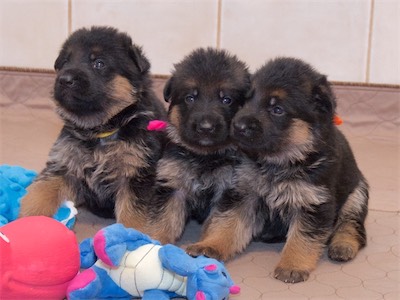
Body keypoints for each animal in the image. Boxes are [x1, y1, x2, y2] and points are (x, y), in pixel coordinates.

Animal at [18, 27, 166, 231]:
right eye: (65, 62)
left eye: (99, 63)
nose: (64, 79)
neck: (99, 131)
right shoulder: (64, 165)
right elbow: (40, 193)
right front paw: (26, 222)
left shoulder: (136, 174)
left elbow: (133, 216)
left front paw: (131, 235)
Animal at [147, 48, 250, 245]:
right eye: (190, 98)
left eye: (226, 100)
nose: (205, 128)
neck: (204, 156)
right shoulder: (173, 185)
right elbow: (164, 220)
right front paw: (154, 241)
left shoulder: (227, 189)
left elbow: (219, 224)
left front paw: (209, 246)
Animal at [186, 56, 368, 284]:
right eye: (246, 101)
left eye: (277, 109)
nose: (237, 126)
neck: (280, 161)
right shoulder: (243, 195)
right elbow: (227, 225)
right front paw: (210, 245)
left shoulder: (314, 204)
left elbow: (302, 237)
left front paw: (292, 265)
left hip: (357, 194)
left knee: (352, 225)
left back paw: (343, 245)